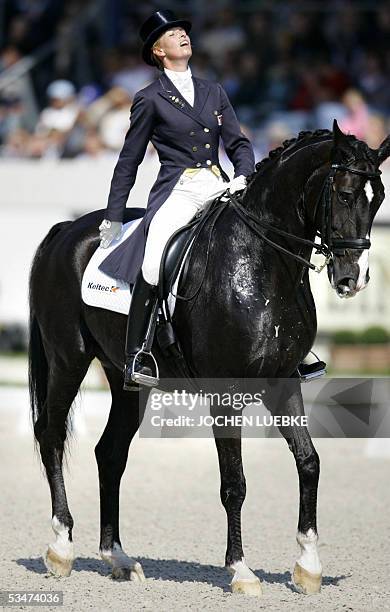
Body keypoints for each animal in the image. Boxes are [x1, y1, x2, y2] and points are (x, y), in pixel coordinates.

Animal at [29, 122, 388, 596]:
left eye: (378, 197)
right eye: (345, 194)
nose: (353, 279)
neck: (262, 261)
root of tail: (69, 227)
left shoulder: (284, 384)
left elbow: (309, 462)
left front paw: (308, 567)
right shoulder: (226, 394)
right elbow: (234, 483)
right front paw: (241, 571)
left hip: (126, 379)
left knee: (110, 452)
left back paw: (118, 557)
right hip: (68, 359)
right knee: (51, 434)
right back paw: (61, 548)